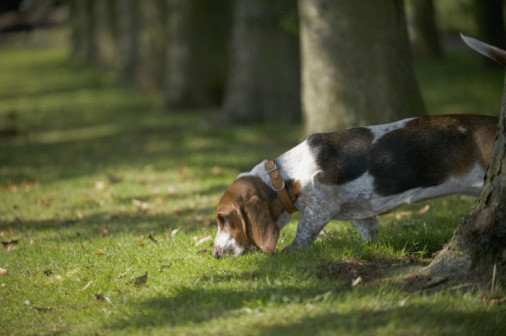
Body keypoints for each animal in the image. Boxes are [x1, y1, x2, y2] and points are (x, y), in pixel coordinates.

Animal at [211, 114, 498, 258]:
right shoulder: (364, 215)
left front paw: (287, 253)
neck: (284, 176)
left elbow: (302, 235)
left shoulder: (319, 210)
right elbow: (368, 235)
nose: (213, 254)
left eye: (223, 220)